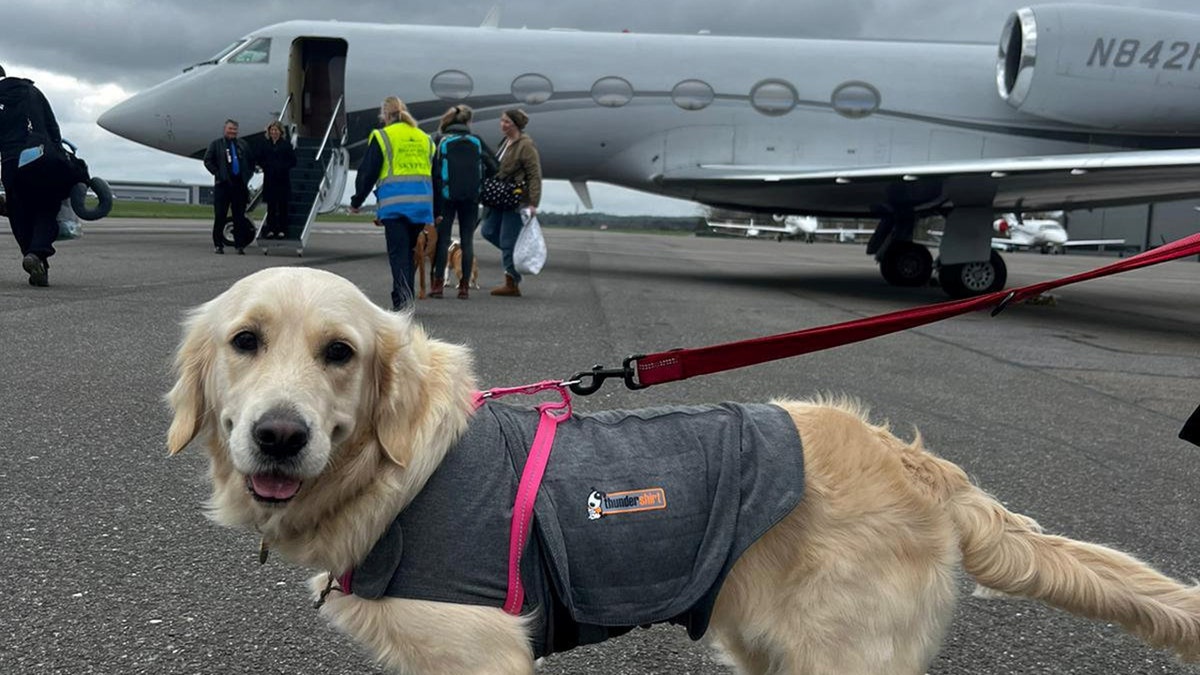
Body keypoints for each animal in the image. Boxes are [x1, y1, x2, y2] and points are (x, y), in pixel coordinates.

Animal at [166, 265, 1200, 667]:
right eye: (246, 342)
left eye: (339, 352)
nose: (280, 435)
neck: (397, 479)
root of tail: (919, 462)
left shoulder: (482, 650)